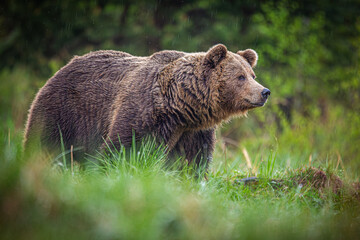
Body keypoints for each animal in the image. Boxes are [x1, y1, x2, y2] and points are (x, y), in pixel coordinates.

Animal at [23, 43, 270, 167]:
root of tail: (61, 68)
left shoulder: (193, 131)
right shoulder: (142, 111)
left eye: (252, 74)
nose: (264, 92)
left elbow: (193, 160)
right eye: (240, 77)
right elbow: (122, 147)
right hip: (64, 110)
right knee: (46, 143)